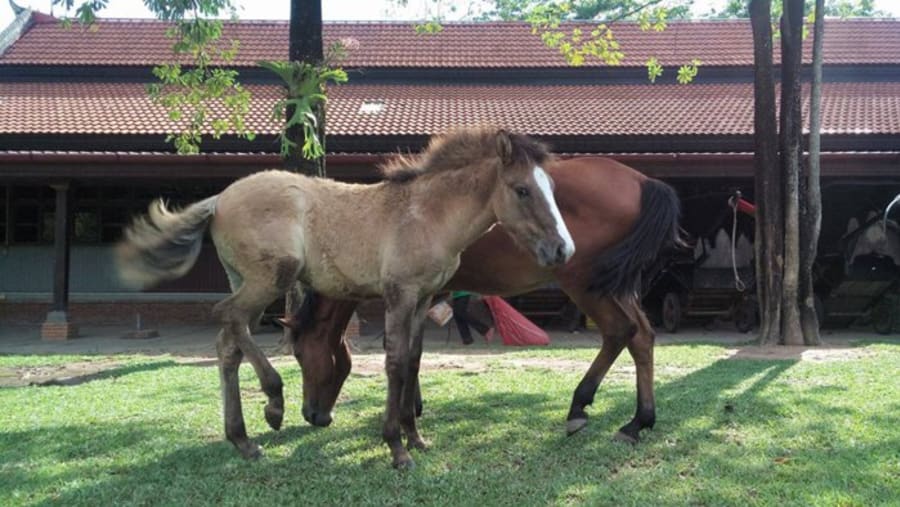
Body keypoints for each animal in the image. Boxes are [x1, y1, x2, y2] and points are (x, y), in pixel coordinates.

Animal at [114, 126, 575, 469]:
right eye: (521, 190)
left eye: (552, 188)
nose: (562, 250)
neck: (427, 215)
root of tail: (219, 199)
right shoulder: (400, 295)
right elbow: (394, 363)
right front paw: (396, 447)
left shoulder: (424, 298)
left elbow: (413, 361)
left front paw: (416, 436)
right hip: (271, 278)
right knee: (226, 316)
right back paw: (274, 402)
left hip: (243, 279)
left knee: (228, 344)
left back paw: (243, 440)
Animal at [279, 156, 683, 444]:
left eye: (299, 353)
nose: (312, 414)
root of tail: (643, 181)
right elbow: (414, 353)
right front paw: (413, 410)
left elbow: (407, 353)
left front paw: (408, 412)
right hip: (615, 285)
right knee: (641, 337)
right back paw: (638, 421)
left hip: (584, 284)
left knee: (619, 331)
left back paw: (579, 407)